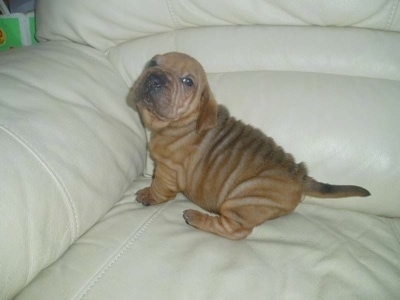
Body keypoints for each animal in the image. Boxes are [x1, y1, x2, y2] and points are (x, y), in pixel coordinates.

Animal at [133, 51, 370, 239]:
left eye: (187, 81)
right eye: (153, 62)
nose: (155, 77)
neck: (183, 122)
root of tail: (301, 175)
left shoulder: (167, 169)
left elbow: (159, 187)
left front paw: (148, 195)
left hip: (242, 199)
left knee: (235, 230)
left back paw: (196, 217)